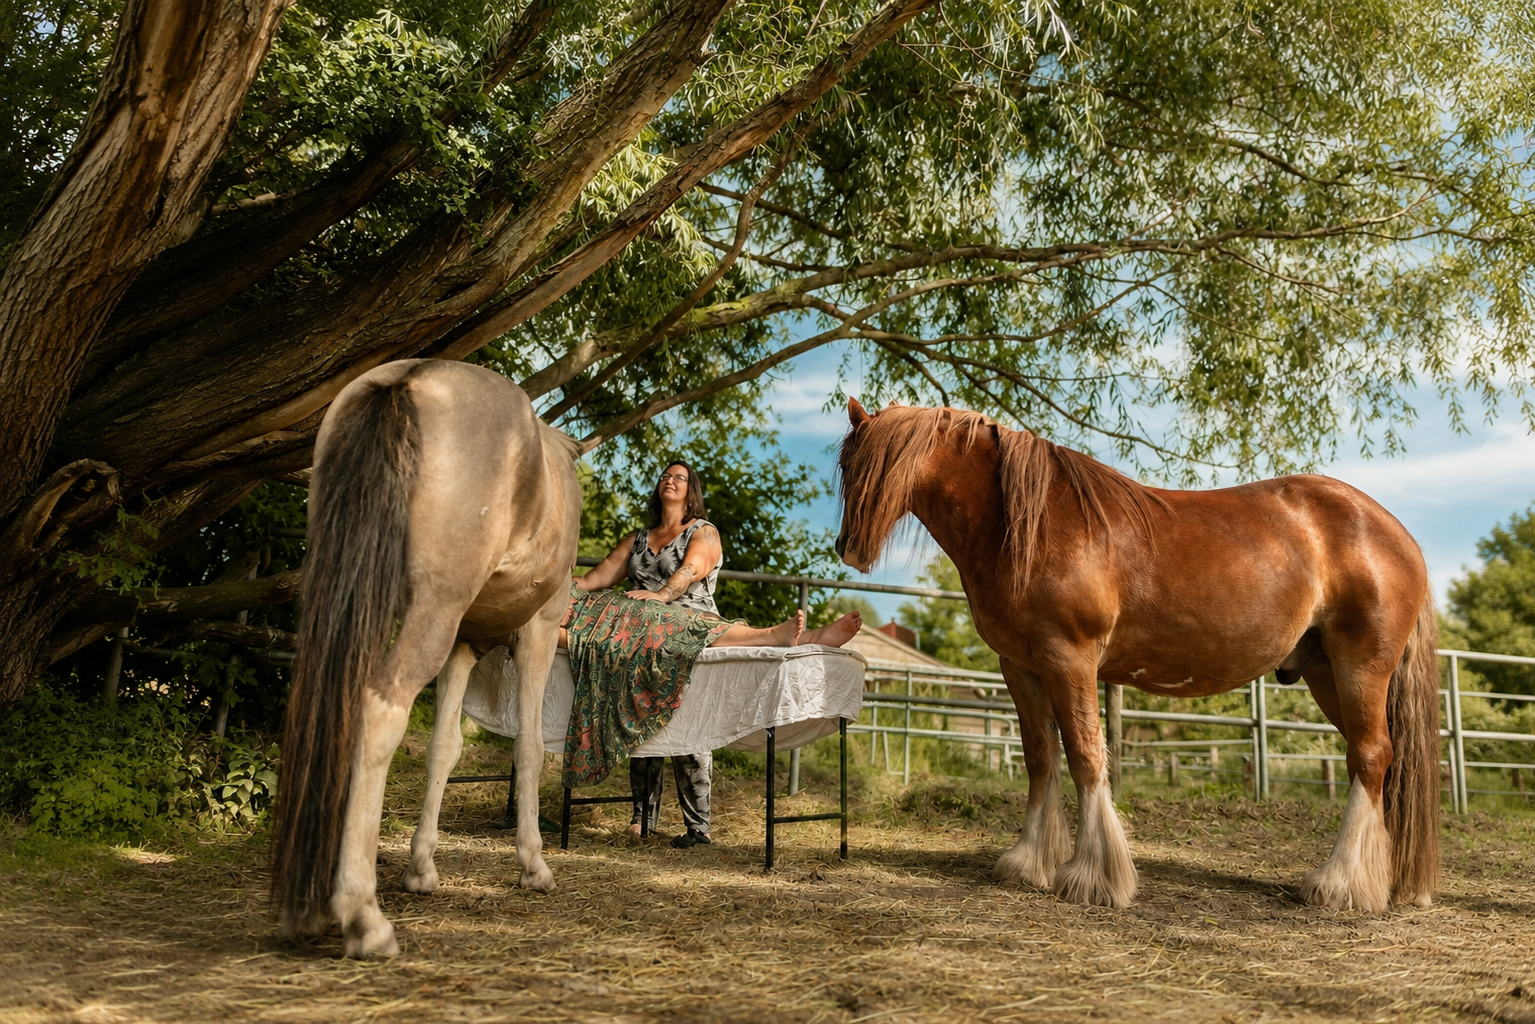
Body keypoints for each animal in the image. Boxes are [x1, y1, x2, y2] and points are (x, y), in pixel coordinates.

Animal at [270, 358, 582, 958]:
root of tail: (411, 378)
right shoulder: (537, 630)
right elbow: (529, 750)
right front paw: (533, 864)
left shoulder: (462, 645)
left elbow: (444, 748)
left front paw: (421, 868)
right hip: (426, 616)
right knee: (377, 709)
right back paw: (362, 915)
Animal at [834, 399, 1439, 912]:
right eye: (847, 466)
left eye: (872, 464)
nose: (849, 548)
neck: (1025, 525)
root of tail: (1398, 533)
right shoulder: (1021, 667)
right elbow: (1041, 759)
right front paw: (1029, 864)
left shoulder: (1069, 659)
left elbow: (1086, 756)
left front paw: (1094, 879)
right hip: (1325, 674)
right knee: (1375, 759)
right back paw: (1376, 883)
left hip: (1360, 668)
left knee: (1370, 757)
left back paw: (1338, 886)